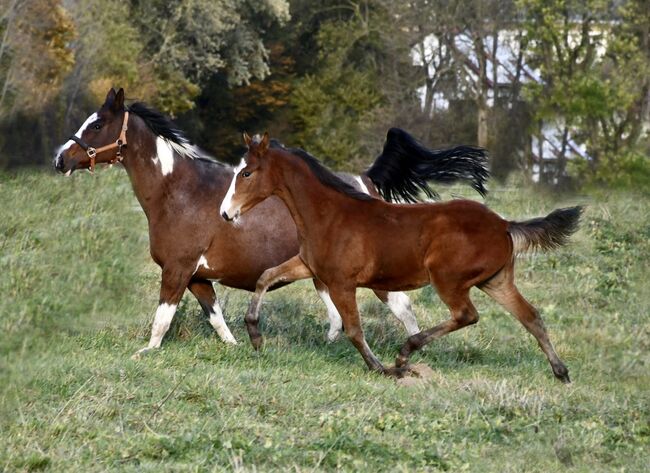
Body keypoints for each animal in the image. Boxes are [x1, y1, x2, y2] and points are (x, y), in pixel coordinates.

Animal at [53, 88, 486, 356]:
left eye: (97, 124)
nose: (60, 159)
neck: (177, 191)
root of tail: (367, 183)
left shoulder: (176, 270)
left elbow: (161, 321)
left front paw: (144, 352)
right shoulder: (198, 278)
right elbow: (217, 320)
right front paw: (241, 347)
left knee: (404, 311)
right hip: (322, 277)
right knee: (337, 318)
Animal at [220, 133, 580, 384]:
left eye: (247, 173)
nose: (226, 213)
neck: (328, 214)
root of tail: (505, 225)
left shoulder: (341, 283)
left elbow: (354, 330)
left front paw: (381, 368)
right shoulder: (309, 266)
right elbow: (266, 276)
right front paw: (254, 335)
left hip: (448, 279)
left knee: (467, 315)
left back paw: (405, 354)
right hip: (496, 280)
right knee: (530, 316)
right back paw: (561, 372)